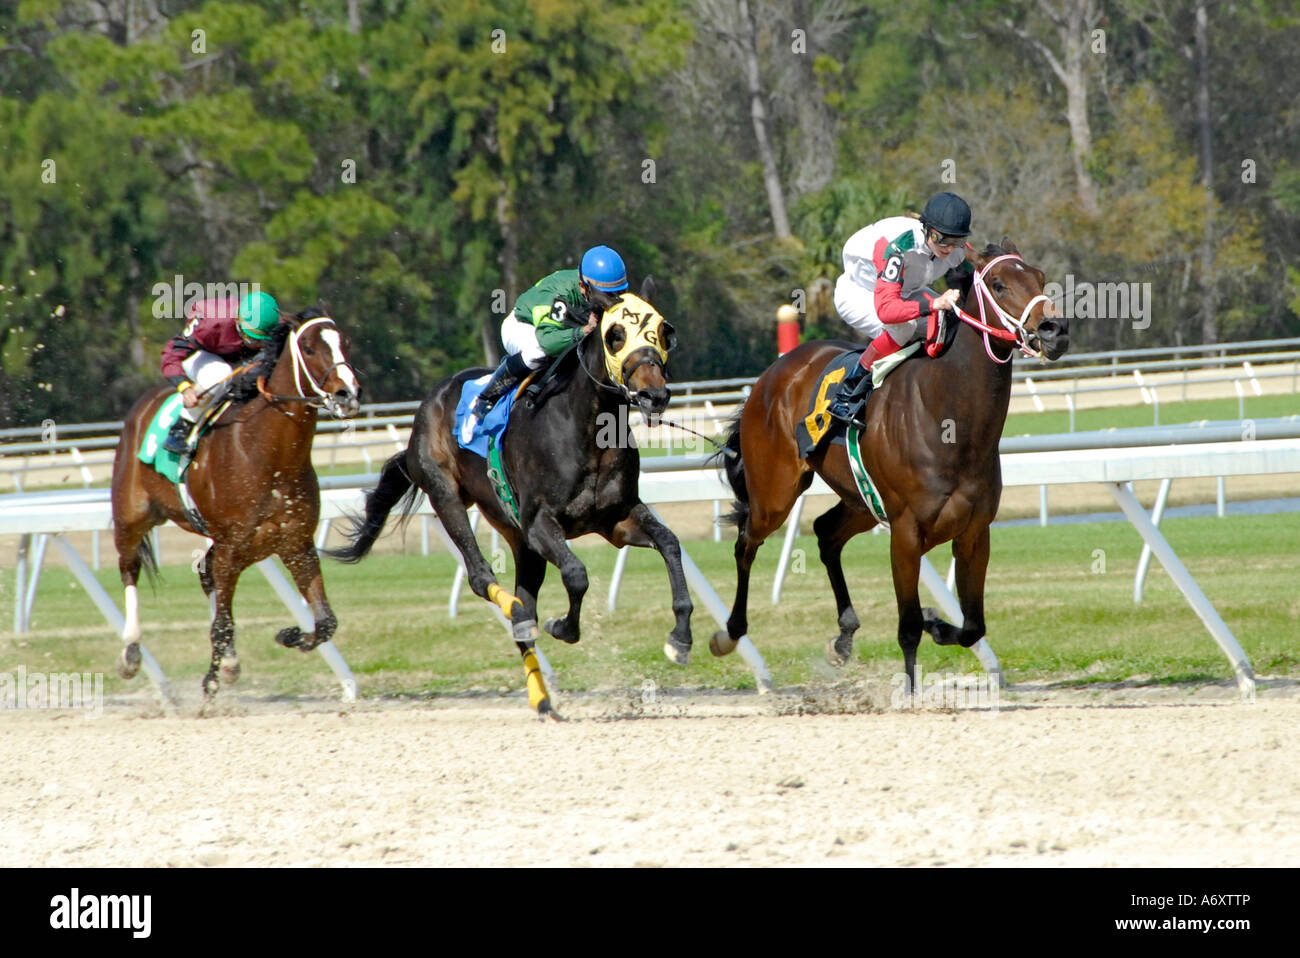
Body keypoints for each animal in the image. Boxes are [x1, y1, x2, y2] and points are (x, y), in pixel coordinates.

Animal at [110, 306, 362, 699]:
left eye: (345, 342)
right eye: (308, 347)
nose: (348, 393)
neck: (270, 455)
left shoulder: (295, 544)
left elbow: (325, 623)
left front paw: (289, 635)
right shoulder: (233, 546)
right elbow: (222, 623)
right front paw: (211, 681)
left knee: (205, 572)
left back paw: (227, 660)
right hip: (131, 516)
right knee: (130, 568)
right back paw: (131, 653)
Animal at [327, 280, 692, 719]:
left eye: (663, 333)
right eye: (615, 335)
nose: (654, 396)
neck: (589, 428)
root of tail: (431, 399)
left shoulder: (617, 520)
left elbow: (669, 543)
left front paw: (680, 639)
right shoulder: (540, 524)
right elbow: (576, 574)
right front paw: (563, 626)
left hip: (520, 540)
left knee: (524, 611)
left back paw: (541, 694)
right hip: (447, 494)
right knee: (482, 577)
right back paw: (517, 615)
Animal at [710, 241, 1069, 690]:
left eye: (1040, 278)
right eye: (1000, 284)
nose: (1055, 330)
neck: (949, 421)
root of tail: (772, 374)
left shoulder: (974, 532)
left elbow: (972, 626)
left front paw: (938, 622)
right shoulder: (906, 533)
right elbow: (908, 627)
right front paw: (911, 687)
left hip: (862, 500)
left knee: (826, 533)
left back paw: (844, 635)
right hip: (775, 494)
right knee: (746, 542)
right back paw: (728, 633)